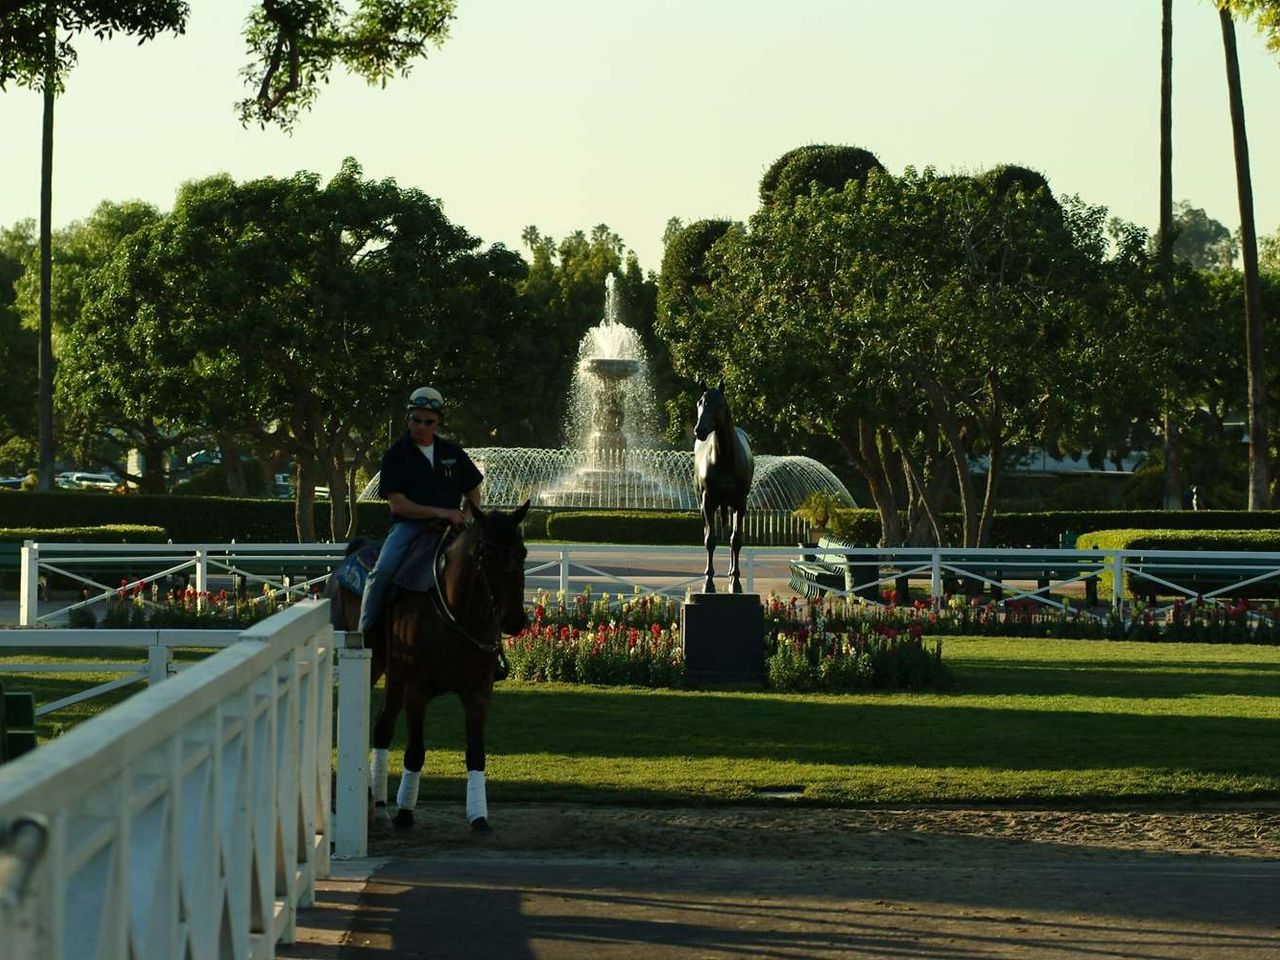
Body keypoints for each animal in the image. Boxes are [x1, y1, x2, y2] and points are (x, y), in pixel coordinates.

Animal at [332, 504, 532, 834]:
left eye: (522, 552)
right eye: (486, 556)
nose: (515, 620)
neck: (456, 613)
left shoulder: (479, 692)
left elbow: (476, 754)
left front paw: (479, 818)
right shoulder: (418, 691)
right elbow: (415, 752)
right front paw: (405, 814)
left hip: (395, 677)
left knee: (382, 726)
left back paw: (380, 802)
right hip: (372, 667)